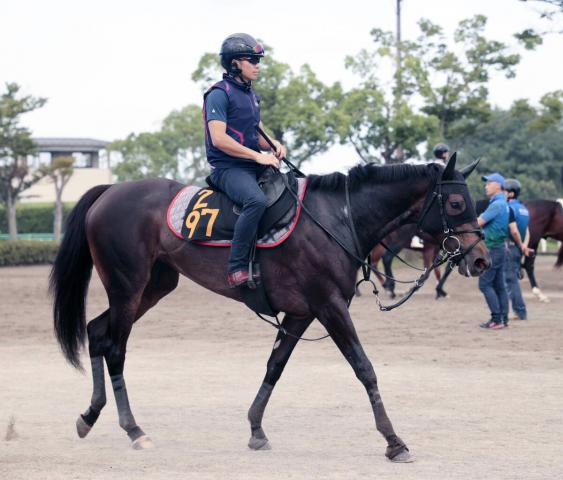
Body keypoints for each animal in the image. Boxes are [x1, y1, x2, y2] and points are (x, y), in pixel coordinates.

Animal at [49, 156, 490, 464]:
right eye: (455, 202)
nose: (481, 259)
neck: (336, 219)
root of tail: (110, 191)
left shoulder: (301, 313)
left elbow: (275, 366)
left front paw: (256, 429)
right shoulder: (329, 306)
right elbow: (364, 368)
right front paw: (394, 441)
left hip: (153, 287)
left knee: (97, 332)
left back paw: (90, 415)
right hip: (128, 287)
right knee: (115, 348)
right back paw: (133, 429)